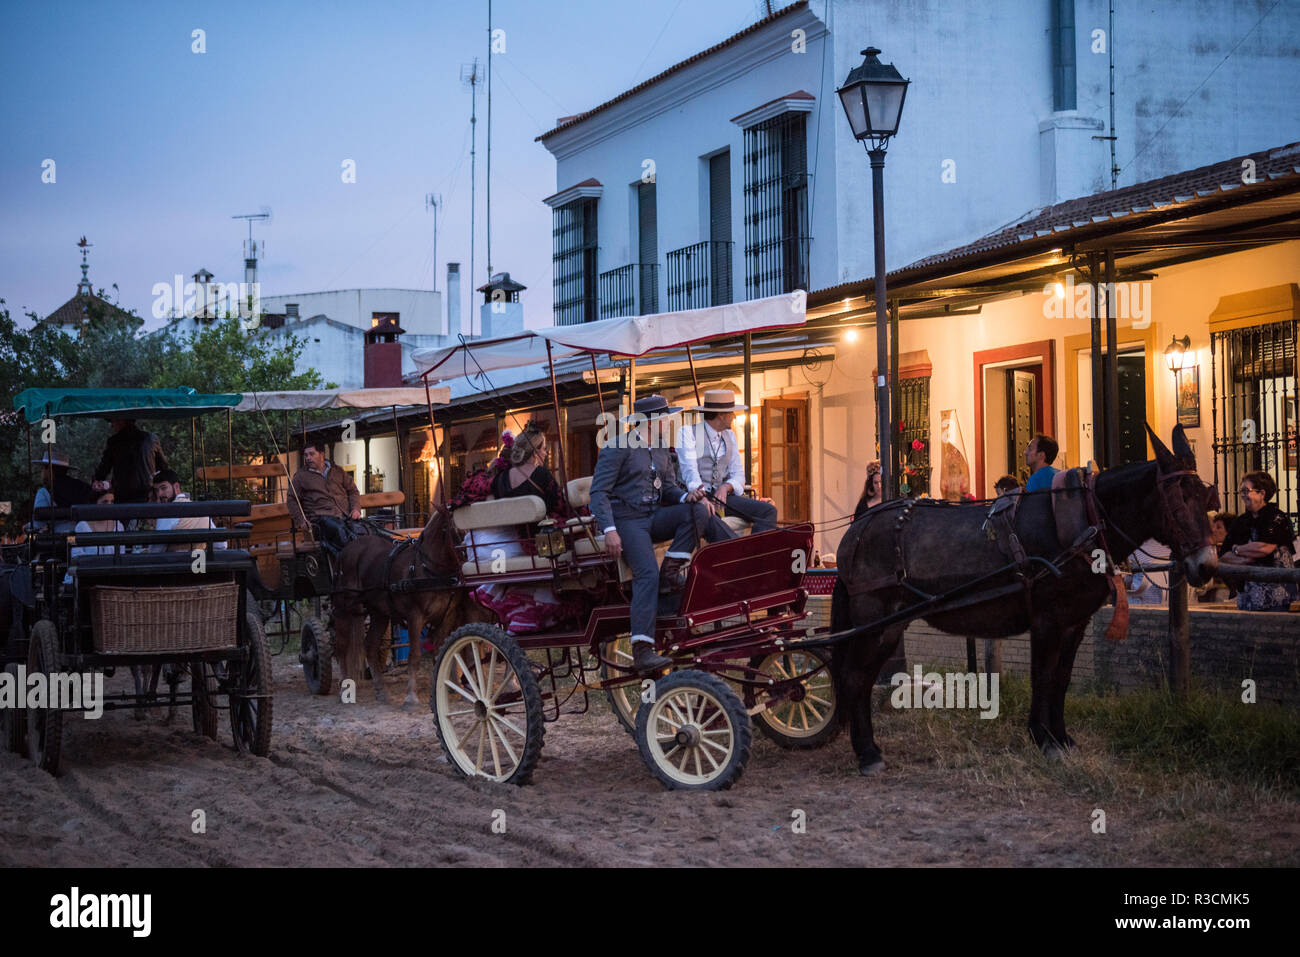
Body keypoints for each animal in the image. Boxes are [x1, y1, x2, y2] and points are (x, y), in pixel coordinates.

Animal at [332, 504, 493, 707]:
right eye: (457, 529)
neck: (428, 570)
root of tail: (347, 548)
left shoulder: (446, 616)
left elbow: (441, 652)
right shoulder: (415, 616)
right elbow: (415, 655)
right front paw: (411, 697)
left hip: (379, 612)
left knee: (370, 645)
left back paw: (381, 691)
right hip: (343, 607)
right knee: (341, 645)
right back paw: (344, 688)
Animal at [832, 429, 1216, 774]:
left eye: (1206, 497)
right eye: (1178, 501)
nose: (1207, 566)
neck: (1083, 524)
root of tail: (858, 527)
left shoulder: (1075, 622)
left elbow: (1061, 679)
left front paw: (1062, 738)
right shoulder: (1047, 619)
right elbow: (1043, 677)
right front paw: (1043, 738)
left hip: (889, 626)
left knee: (862, 678)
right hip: (873, 618)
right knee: (854, 678)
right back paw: (867, 753)